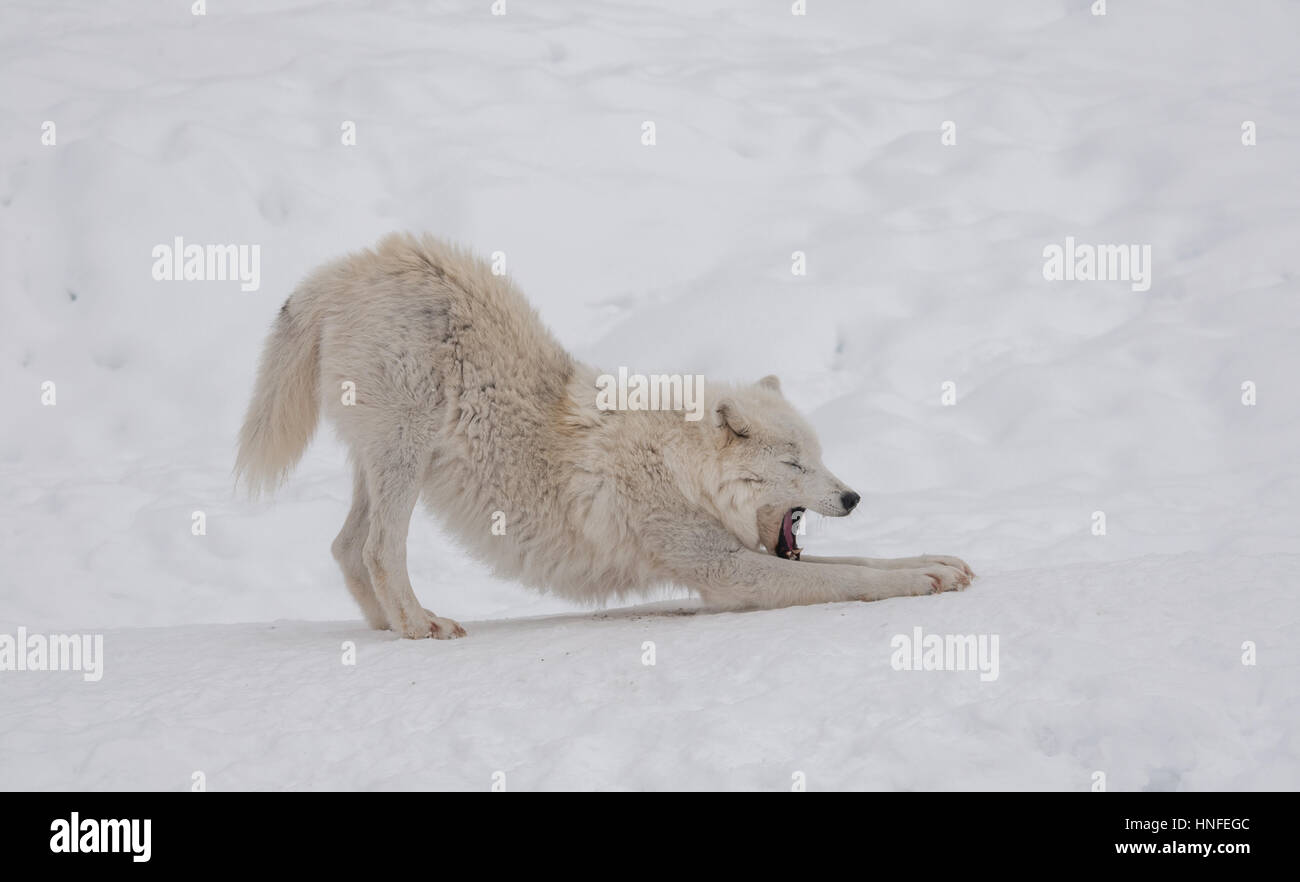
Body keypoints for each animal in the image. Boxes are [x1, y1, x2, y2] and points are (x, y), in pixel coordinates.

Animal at [236, 232, 977, 642]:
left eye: (821, 459)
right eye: (795, 463)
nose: (852, 498)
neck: (677, 469)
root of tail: (346, 270)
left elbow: (863, 560)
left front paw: (940, 564)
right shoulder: (729, 572)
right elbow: (845, 576)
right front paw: (918, 583)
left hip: (382, 459)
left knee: (346, 546)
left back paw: (388, 626)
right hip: (403, 455)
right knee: (379, 548)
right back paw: (422, 626)